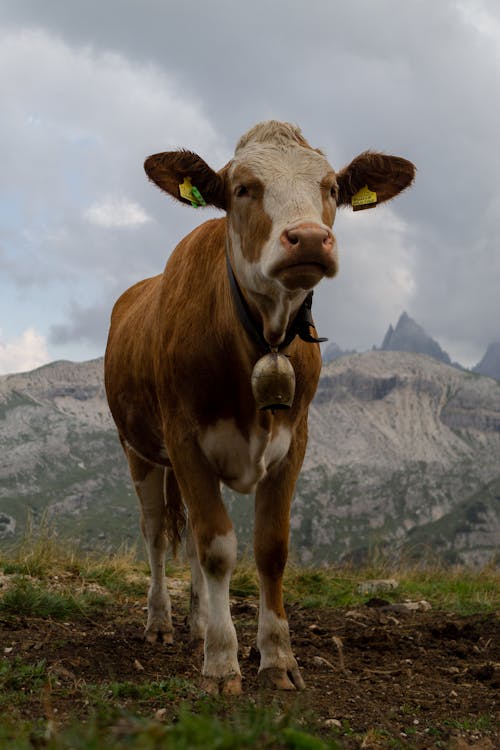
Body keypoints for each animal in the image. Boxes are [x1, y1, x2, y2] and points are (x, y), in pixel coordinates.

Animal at [104, 120, 414, 696]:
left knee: (190, 542)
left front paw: (276, 657)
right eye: (244, 188)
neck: (261, 336)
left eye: (330, 188)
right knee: (156, 534)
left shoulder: (293, 442)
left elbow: (269, 548)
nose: (309, 238)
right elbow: (217, 547)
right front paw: (222, 662)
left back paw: (199, 620)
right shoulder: (185, 439)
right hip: (140, 451)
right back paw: (161, 622)